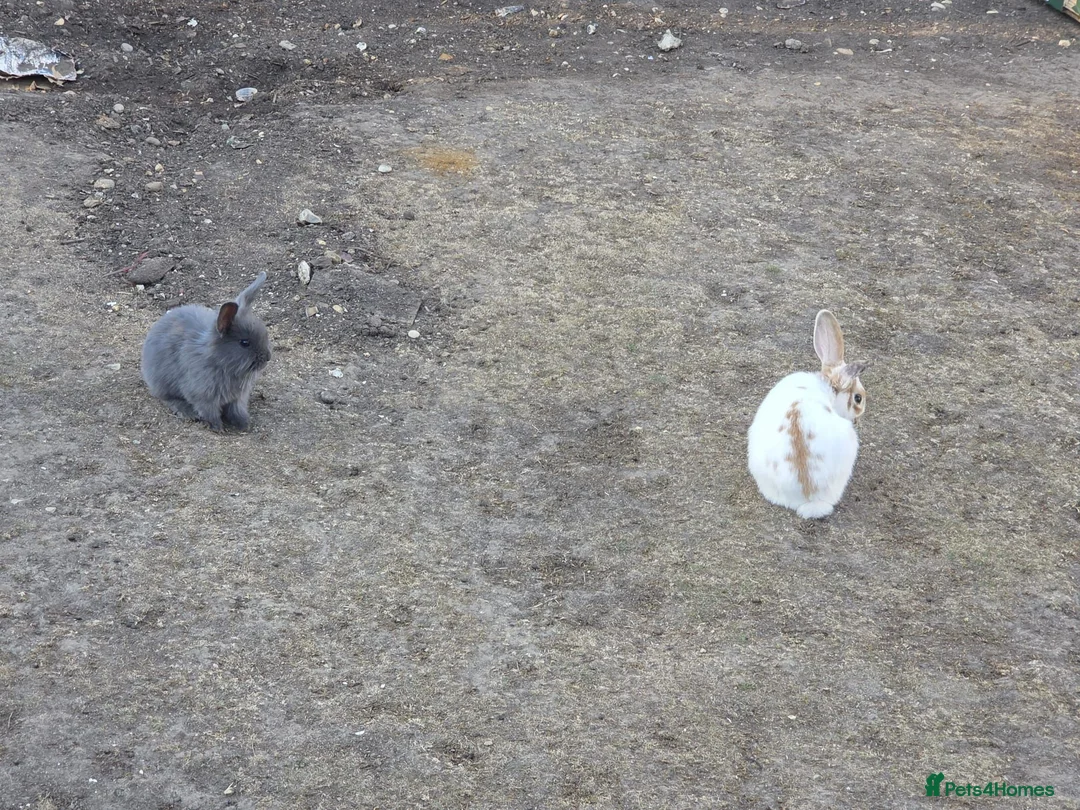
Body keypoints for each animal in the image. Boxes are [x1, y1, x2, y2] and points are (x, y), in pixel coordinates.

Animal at [141, 272, 271, 432]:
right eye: (244, 343)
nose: (267, 358)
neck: (221, 362)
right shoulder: (203, 397)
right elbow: (209, 412)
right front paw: (218, 428)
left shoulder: (237, 398)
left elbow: (237, 410)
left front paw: (244, 424)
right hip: (163, 383)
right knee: (168, 399)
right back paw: (187, 412)